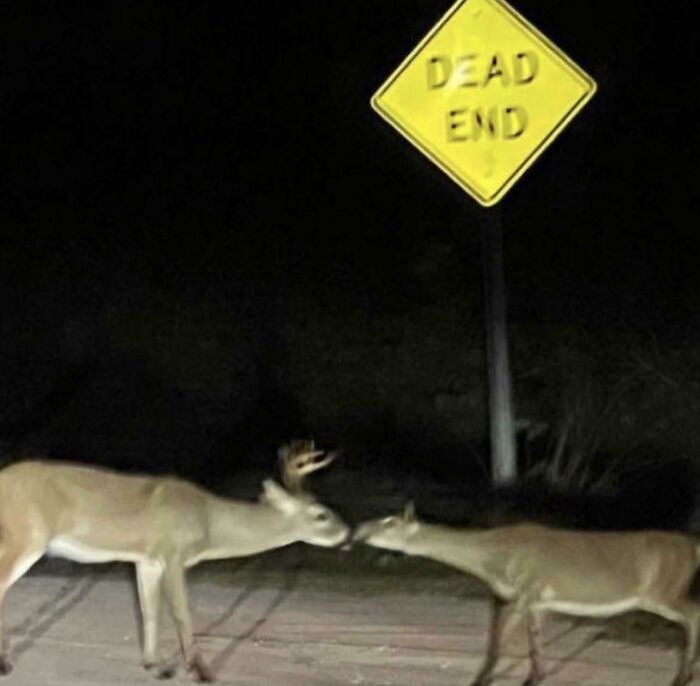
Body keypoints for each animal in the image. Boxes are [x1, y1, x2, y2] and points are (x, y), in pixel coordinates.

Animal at [0, 440, 349, 681]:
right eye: (321, 514)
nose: (347, 535)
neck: (208, 521)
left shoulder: (148, 560)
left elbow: (150, 612)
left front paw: (154, 665)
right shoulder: (173, 553)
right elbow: (182, 615)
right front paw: (201, 672)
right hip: (26, 536)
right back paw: (5, 664)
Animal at [353, 503, 700, 686]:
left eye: (389, 522)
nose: (358, 530)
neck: (492, 560)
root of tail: (693, 546)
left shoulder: (524, 591)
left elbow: (497, 645)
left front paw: (480, 680)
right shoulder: (539, 601)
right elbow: (535, 645)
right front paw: (534, 677)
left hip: (663, 590)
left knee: (693, 615)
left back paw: (682, 677)